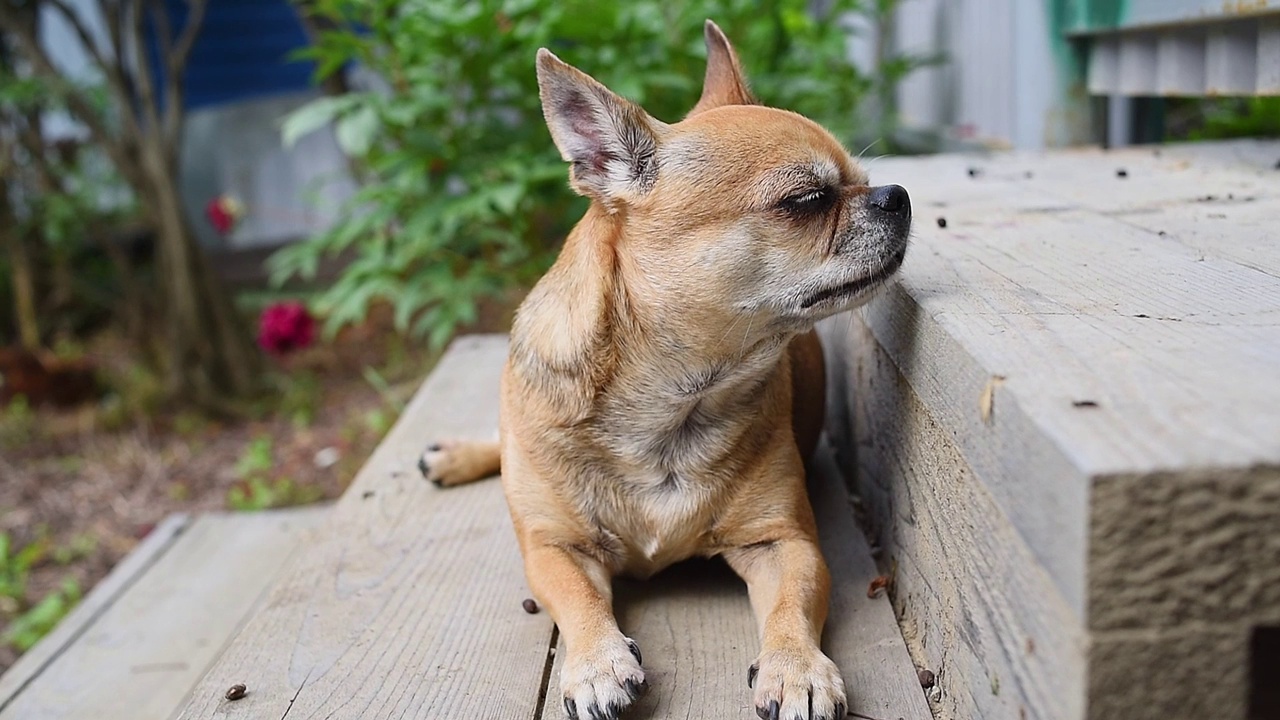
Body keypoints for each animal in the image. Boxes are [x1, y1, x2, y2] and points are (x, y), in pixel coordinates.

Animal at [417, 20, 911, 717]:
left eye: (866, 178)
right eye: (808, 200)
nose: (898, 195)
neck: (673, 402)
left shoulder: (785, 544)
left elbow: (791, 608)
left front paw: (797, 670)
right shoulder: (554, 549)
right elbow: (579, 600)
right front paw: (597, 663)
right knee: (506, 440)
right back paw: (459, 454)